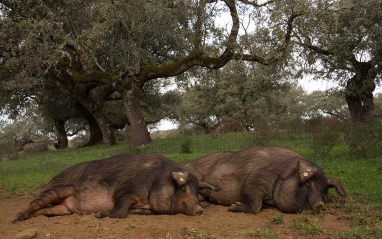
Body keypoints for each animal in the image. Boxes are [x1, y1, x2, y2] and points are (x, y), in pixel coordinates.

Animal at [11, 153, 219, 222]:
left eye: (197, 191)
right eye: (183, 187)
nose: (199, 209)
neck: (155, 181)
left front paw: (138, 212)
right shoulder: (124, 191)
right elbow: (119, 211)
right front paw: (99, 214)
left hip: (63, 208)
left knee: (45, 210)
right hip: (57, 190)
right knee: (35, 202)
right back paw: (17, 218)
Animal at [185, 147, 346, 214]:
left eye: (325, 190)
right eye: (308, 183)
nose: (321, 205)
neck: (282, 173)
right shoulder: (253, 183)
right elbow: (256, 206)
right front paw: (233, 206)